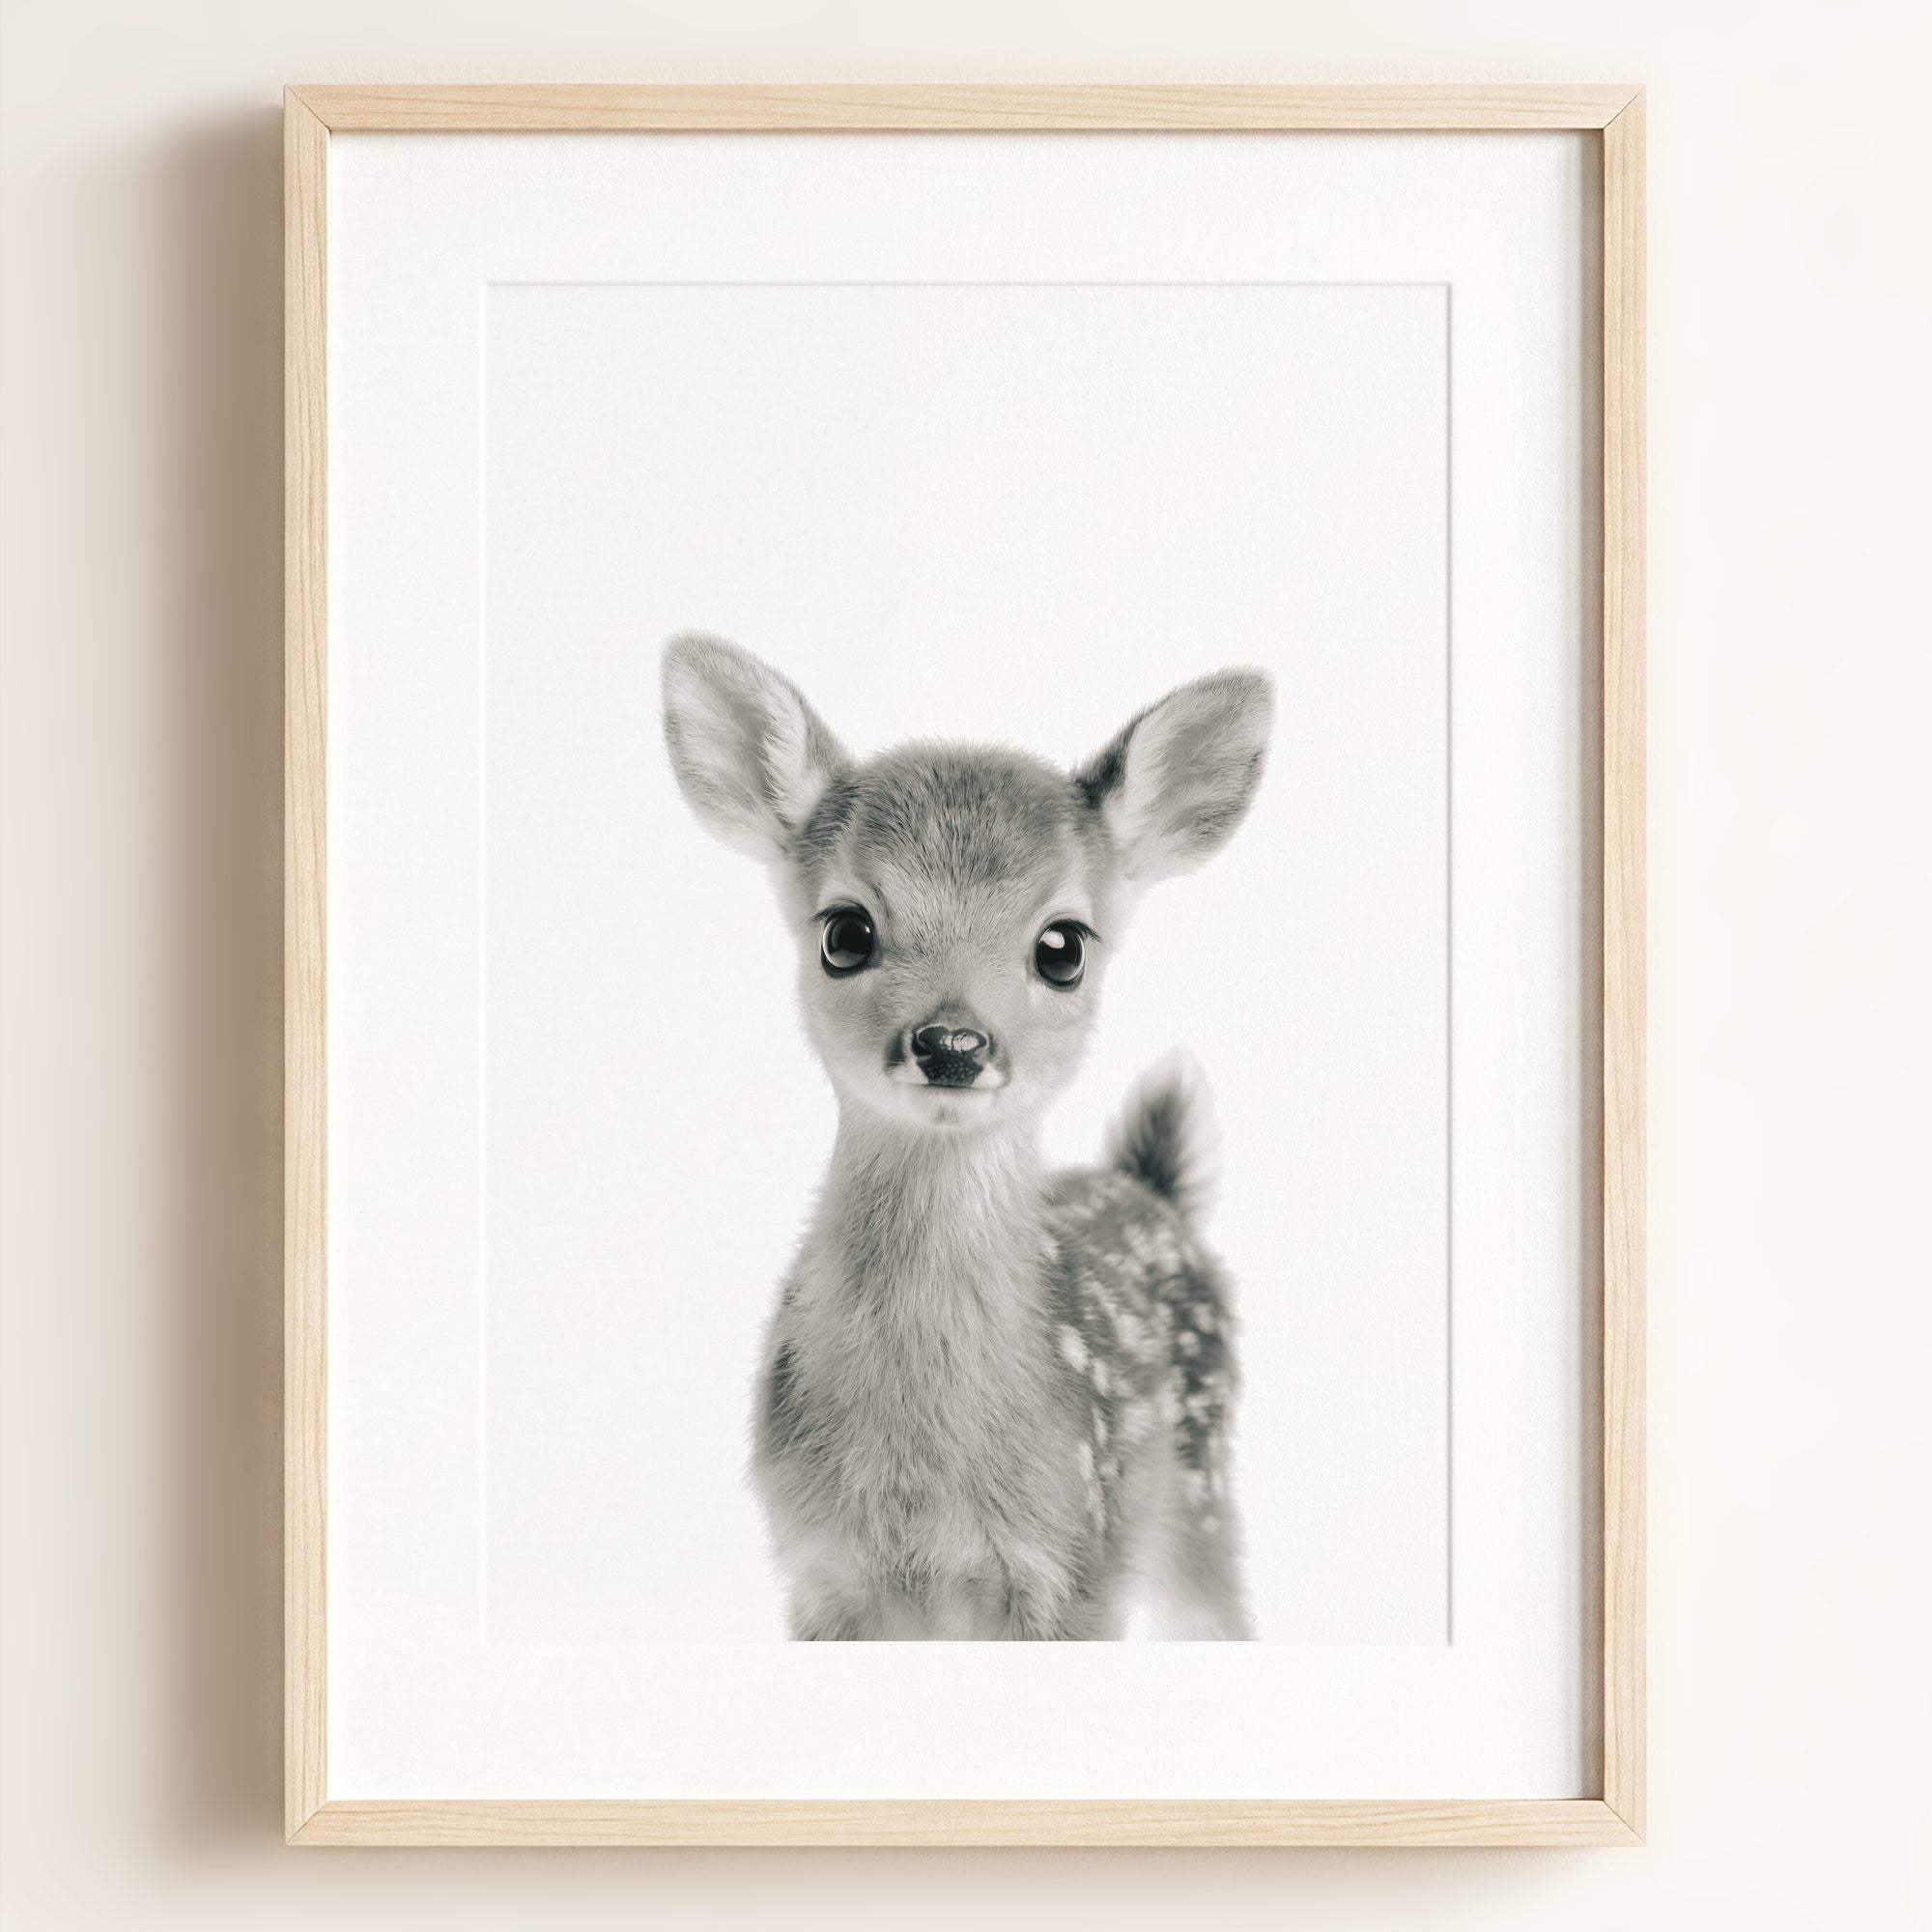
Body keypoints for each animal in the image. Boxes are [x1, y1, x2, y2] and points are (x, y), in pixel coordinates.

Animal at [661, 634, 1273, 1639]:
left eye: (1063, 946)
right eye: (845, 931)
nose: (952, 1044)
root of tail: (1152, 1188)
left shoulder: (1077, 1563)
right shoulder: (819, 1571)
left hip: (1202, 1490)